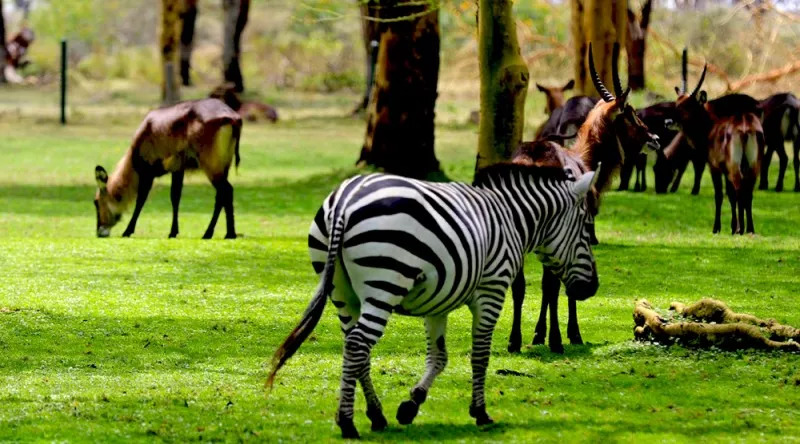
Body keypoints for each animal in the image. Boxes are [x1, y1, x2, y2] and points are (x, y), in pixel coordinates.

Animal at [93, 98, 241, 239]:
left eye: (96, 202)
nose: (99, 232)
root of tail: (232, 117)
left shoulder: (147, 173)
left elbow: (141, 199)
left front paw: (127, 231)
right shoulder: (178, 170)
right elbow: (175, 197)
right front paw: (173, 232)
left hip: (211, 166)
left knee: (226, 190)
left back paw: (219, 233)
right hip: (223, 166)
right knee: (222, 195)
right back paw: (222, 233)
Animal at [268, 162, 600, 438]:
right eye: (587, 229)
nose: (592, 288)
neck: (511, 221)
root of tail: (345, 201)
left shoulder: (437, 300)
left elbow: (439, 358)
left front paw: (411, 405)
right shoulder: (492, 290)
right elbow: (480, 355)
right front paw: (480, 412)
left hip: (341, 291)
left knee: (355, 345)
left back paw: (377, 416)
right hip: (385, 283)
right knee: (358, 343)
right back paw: (347, 423)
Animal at [510, 41, 660, 354]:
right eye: (630, 113)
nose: (655, 138)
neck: (584, 160)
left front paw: (538, 334)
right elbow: (561, 283)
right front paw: (569, 334)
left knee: (519, 284)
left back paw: (514, 341)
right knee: (551, 284)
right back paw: (556, 341)